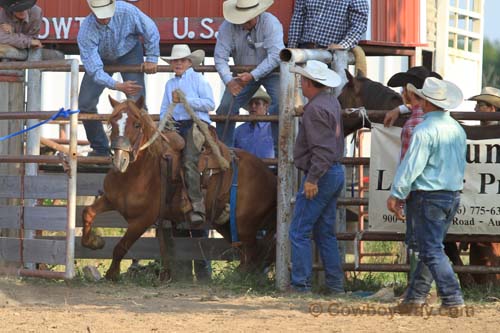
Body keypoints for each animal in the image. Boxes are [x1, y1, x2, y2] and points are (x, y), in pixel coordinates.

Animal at [82, 96, 278, 280]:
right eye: (112, 123)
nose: (120, 160)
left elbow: (121, 247)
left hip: (244, 225)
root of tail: (270, 176)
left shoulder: (143, 220)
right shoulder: (110, 199)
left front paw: (112, 274)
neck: (136, 174)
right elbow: (87, 212)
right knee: (249, 254)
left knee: (252, 253)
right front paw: (95, 242)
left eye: (137, 125)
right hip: (224, 222)